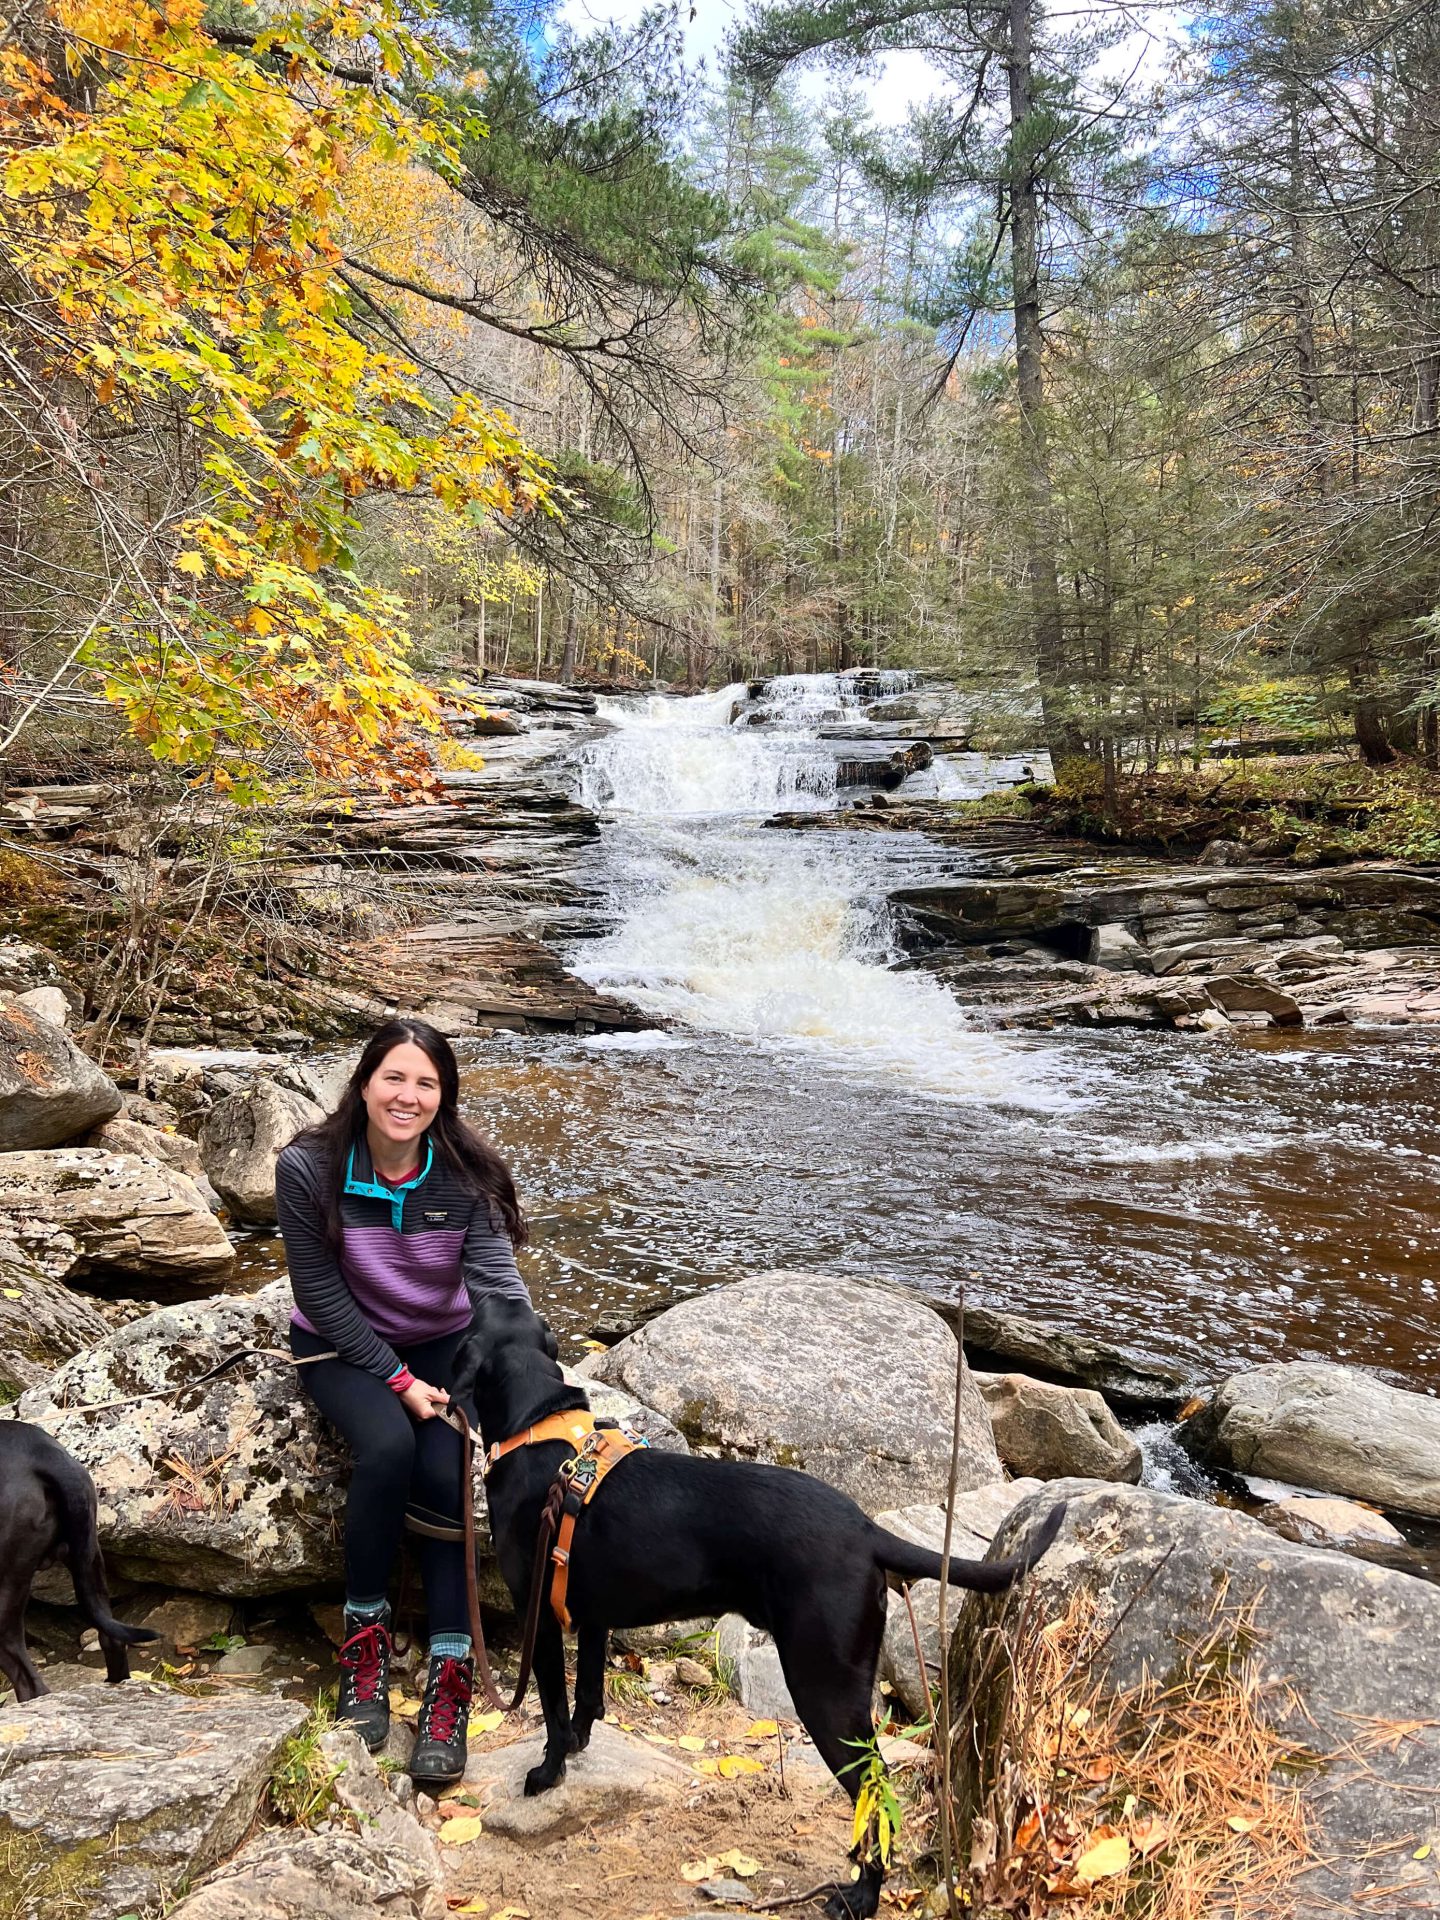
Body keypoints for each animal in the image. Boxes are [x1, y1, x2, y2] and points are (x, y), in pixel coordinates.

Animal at [456, 1297, 1067, 1912]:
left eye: (482, 1309)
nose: (477, 1287)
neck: (539, 1427)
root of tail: (867, 1530)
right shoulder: (594, 1619)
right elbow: (585, 1699)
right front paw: (581, 1745)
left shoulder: (541, 1620)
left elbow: (555, 1712)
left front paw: (547, 1774)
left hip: (824, 1690)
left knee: (875, 1788)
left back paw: (862, 1895)